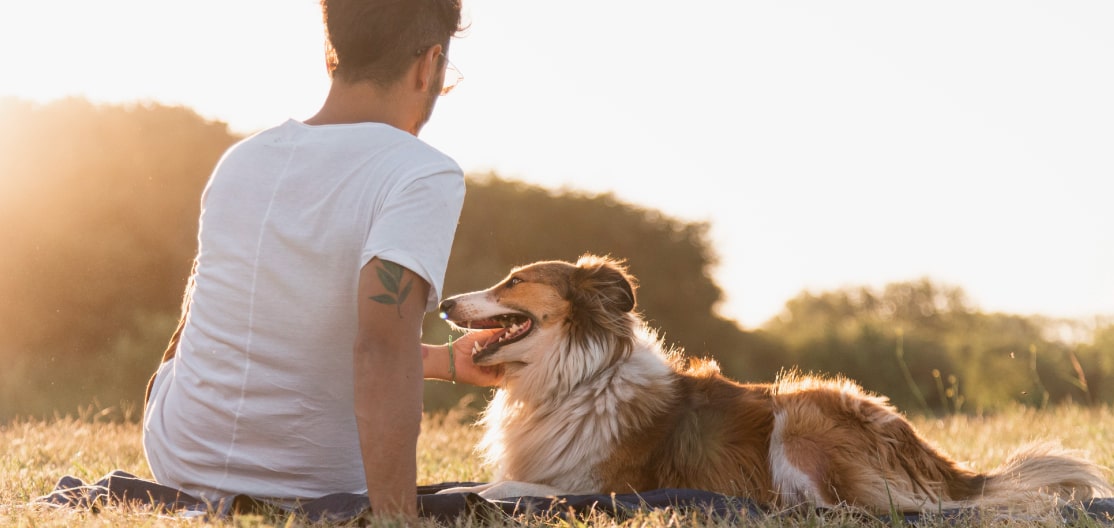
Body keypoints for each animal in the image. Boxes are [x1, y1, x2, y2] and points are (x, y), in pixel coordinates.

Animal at [438, 256, 1109, 514]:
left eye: (514, 280)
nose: (442, 303)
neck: (578, 378)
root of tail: (939, 462)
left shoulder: (606, 485)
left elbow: (509, 485)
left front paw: (482, 492)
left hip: (802, 410)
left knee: (854, 506)